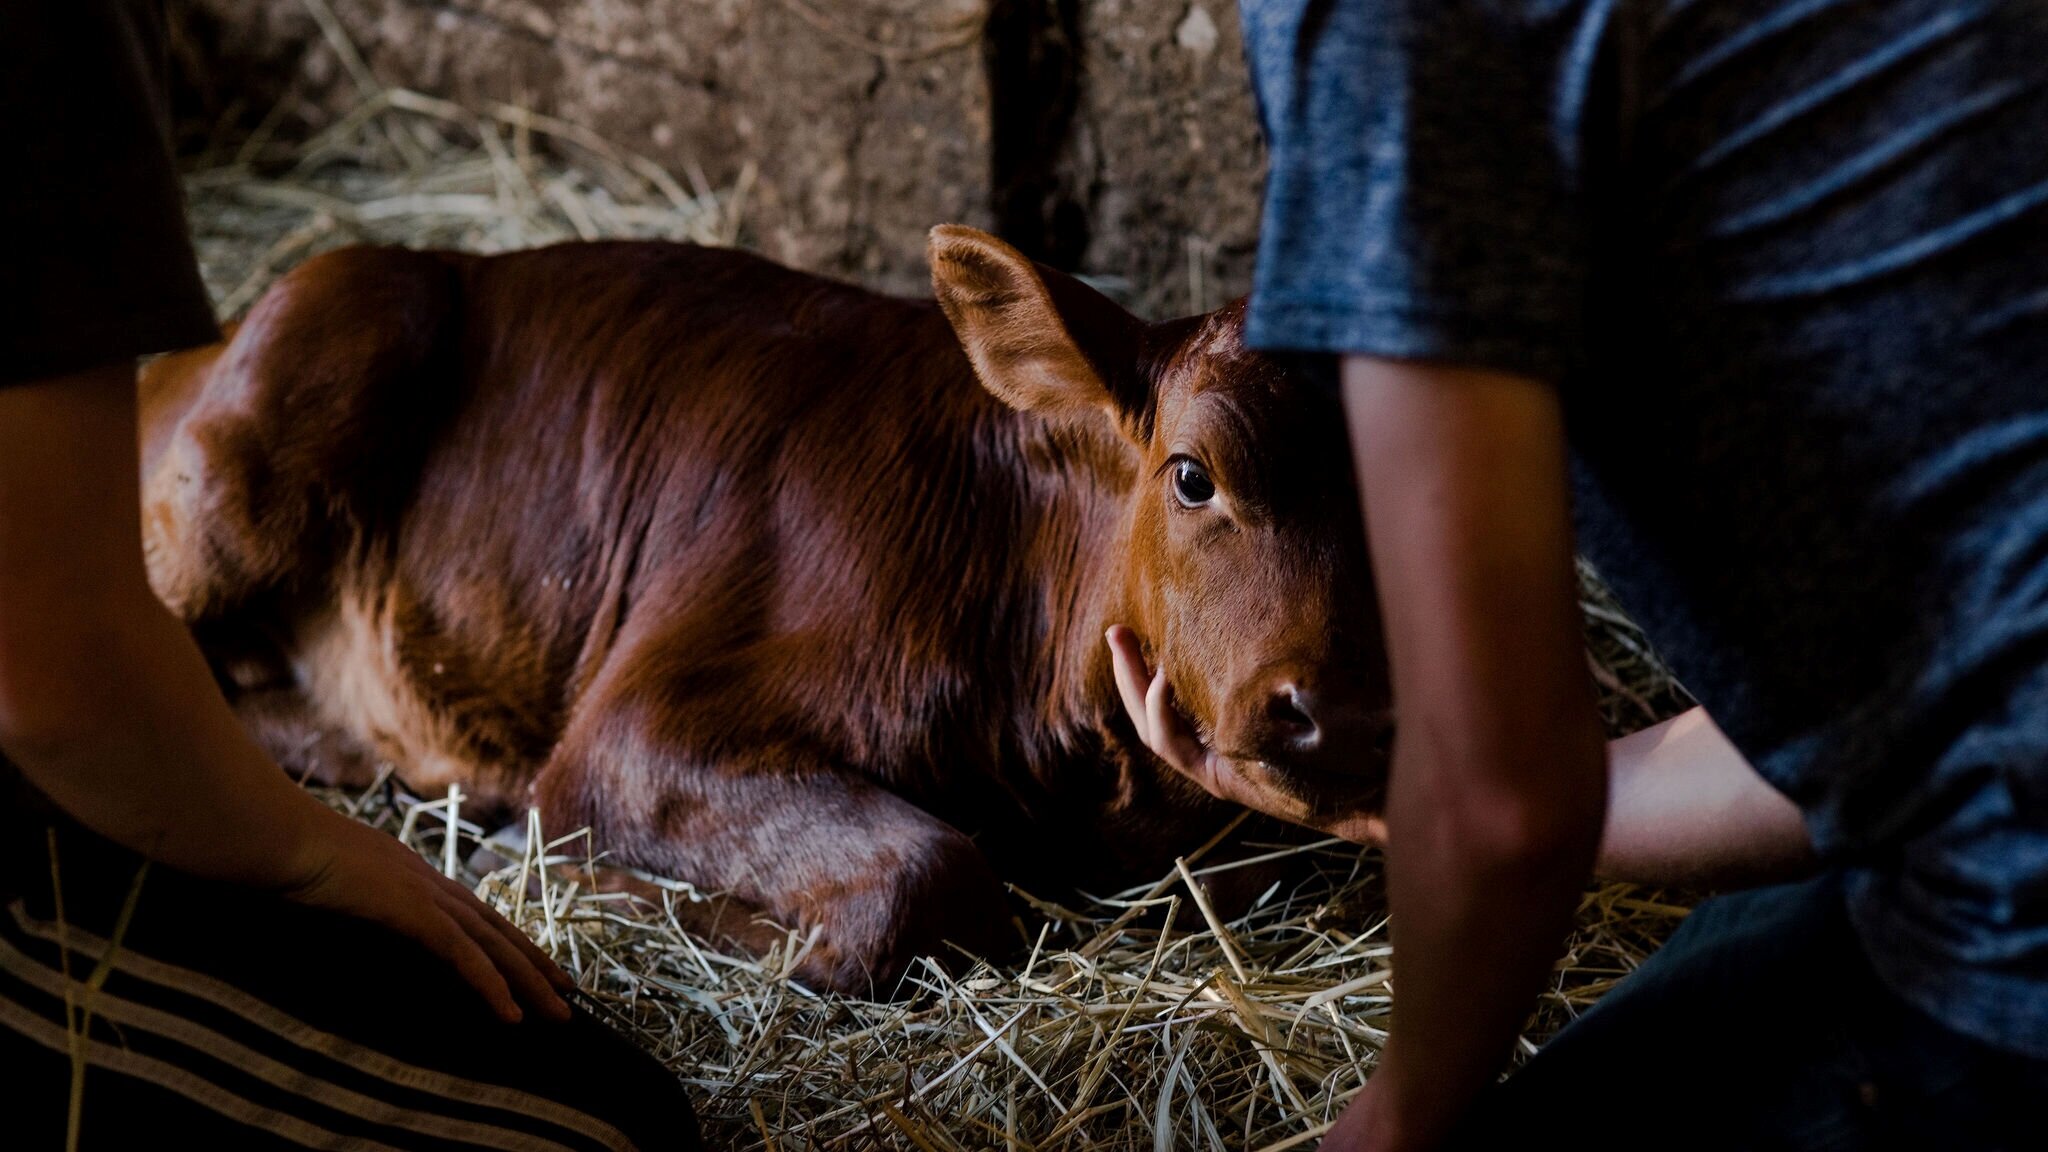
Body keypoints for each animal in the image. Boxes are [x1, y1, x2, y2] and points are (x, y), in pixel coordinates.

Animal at [140, 228, 1392, 992]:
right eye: (1191, 475)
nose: (1336, 711)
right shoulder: (635, 730)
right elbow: (924, 881)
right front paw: (552, 873)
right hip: (260, 438)